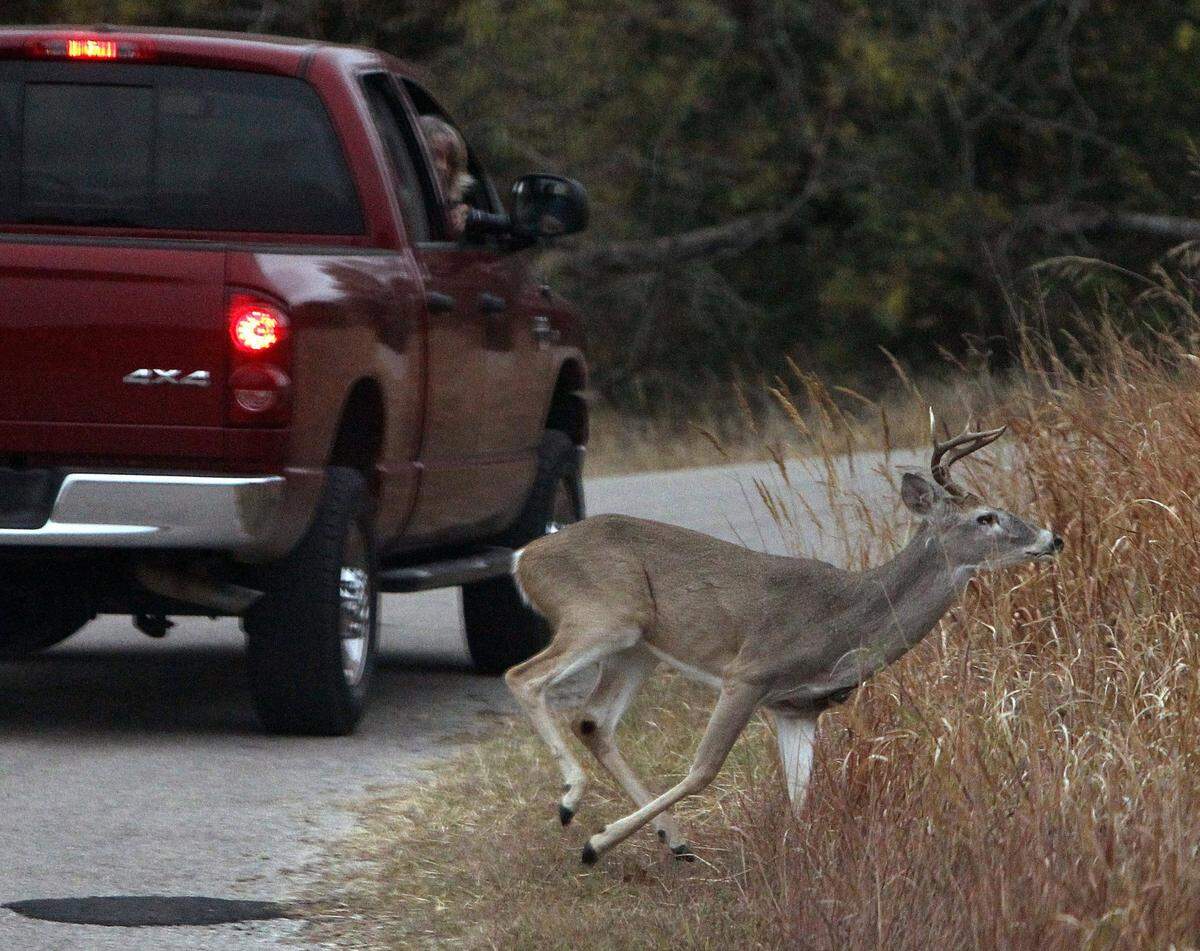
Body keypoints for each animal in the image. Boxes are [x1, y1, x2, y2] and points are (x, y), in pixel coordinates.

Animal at [504, 426, 1063, 865]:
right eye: (985, 517)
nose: (1052, 538)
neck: (846, 621)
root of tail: (524, 557)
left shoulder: (797, 707)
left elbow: (800, 797)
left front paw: (802, 857)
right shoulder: (749, 673)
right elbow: (703, 771)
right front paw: (595, 844)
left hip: (635, 648)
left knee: (593, 719)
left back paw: (673, 840)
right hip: (603, 616)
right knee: (522, 677)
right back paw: (572, 801)